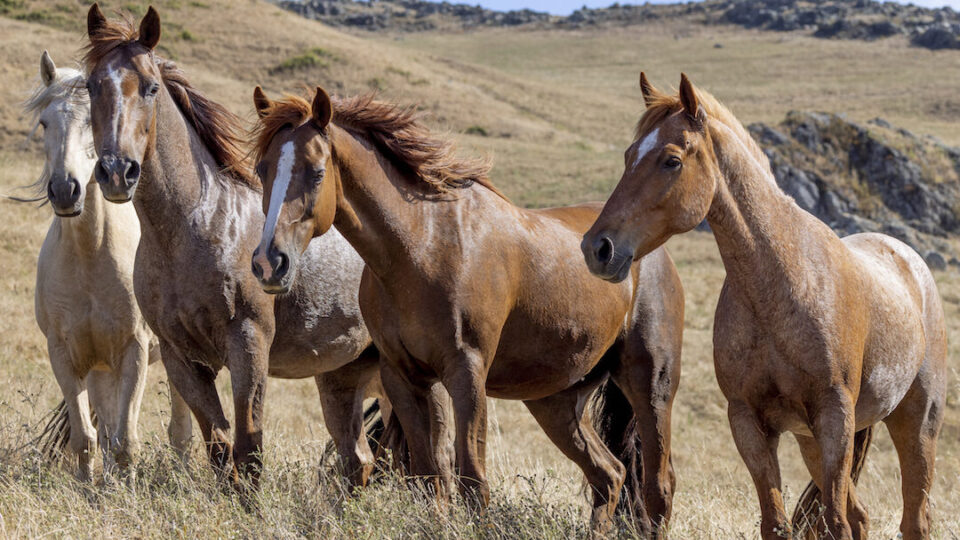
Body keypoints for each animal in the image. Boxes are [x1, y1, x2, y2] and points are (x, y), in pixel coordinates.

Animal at [23, 51, 193, 481]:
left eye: (92, 120)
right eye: (45, 122)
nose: (65, 190)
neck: (89, 259)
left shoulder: (135, 350)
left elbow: (126, 442)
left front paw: (125, 490)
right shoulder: (65, 356)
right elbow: (87, 439)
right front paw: (90, 488)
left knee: (181, 429)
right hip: (101, 368)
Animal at [83, 5, 391, 490]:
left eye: (150, 87)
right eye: (92, 86)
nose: (117, 172)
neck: (196, 228)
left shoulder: (248, 346)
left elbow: (248, 452)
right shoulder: (182, 358)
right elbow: (219, 451)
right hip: (342, 376)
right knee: (358, 459)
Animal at [248, 85, 686, 536]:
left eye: (317, 172)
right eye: (263, 169)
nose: (270, 262)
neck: (422, 247)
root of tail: (645, 250)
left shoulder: (466, 373)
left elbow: (471, 477)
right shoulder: (403, 378)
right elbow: (428, 475)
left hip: (650, 385)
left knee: (658, 483)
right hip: (557, 403)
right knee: (610, 474)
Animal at [582, 73, 946, 540]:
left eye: (671, 160)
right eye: (629, 155)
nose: (598, 248)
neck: (782, 287)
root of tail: (908, 259)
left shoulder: (835, 416)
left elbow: (835, 522)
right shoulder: (750, 422)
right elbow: (777, 522)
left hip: (915, 425)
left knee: (913, 518)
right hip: (812, 441)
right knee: (861, 515)